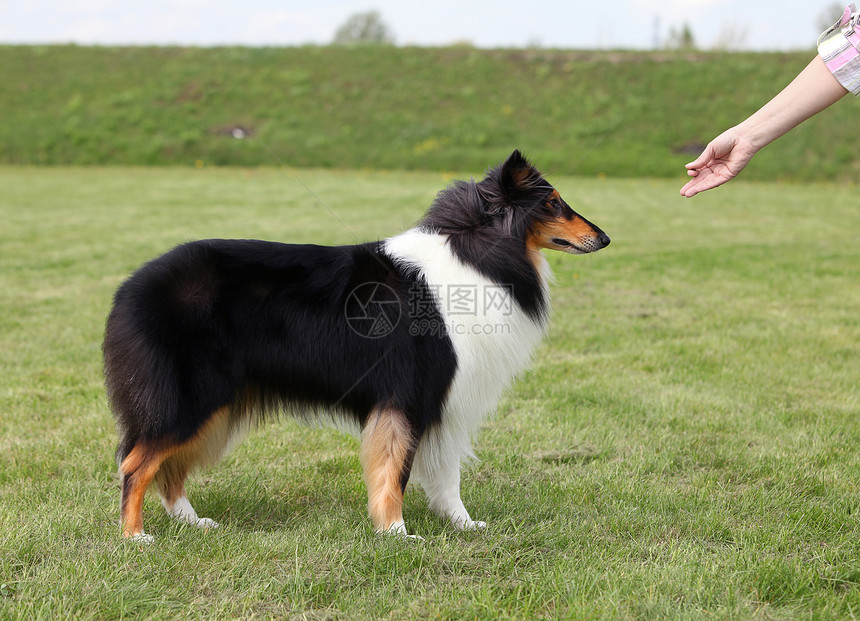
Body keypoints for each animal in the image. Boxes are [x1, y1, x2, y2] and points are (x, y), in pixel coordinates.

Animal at [104, 149, 608, 536]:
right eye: (554, 202)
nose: (604, 237)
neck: (476, 253)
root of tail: (129, 287)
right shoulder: (408, 397)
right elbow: (395, 473)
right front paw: (397, 534)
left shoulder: (442, 404)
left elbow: (447, 476)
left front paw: (464, 526)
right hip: (190, 398)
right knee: (135, 464)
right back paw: (135, 538)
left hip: (211, 406)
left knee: (168, 469)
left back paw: (192, 523)